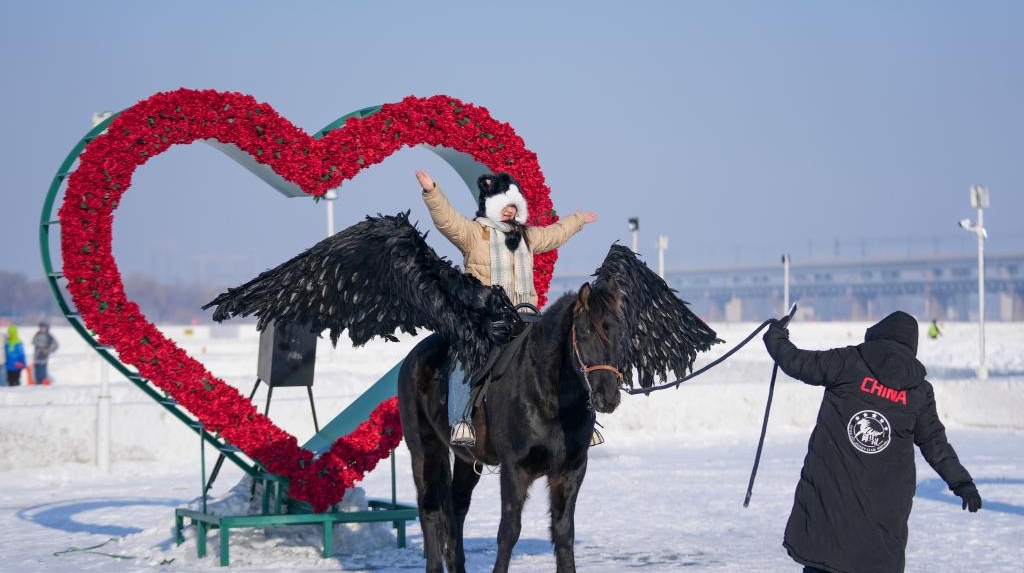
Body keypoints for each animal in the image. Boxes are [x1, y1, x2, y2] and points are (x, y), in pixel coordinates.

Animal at [397, 280, 625, 573]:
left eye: (620, 333)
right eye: (585, 332)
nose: (608, 397)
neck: (546, 395)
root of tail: (414, 358)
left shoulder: (571, 470)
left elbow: (564, 532)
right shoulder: (515, 469)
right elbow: (509, 531)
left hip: (466, 460)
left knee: (456, 509)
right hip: (425, 451)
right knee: (430, 509)